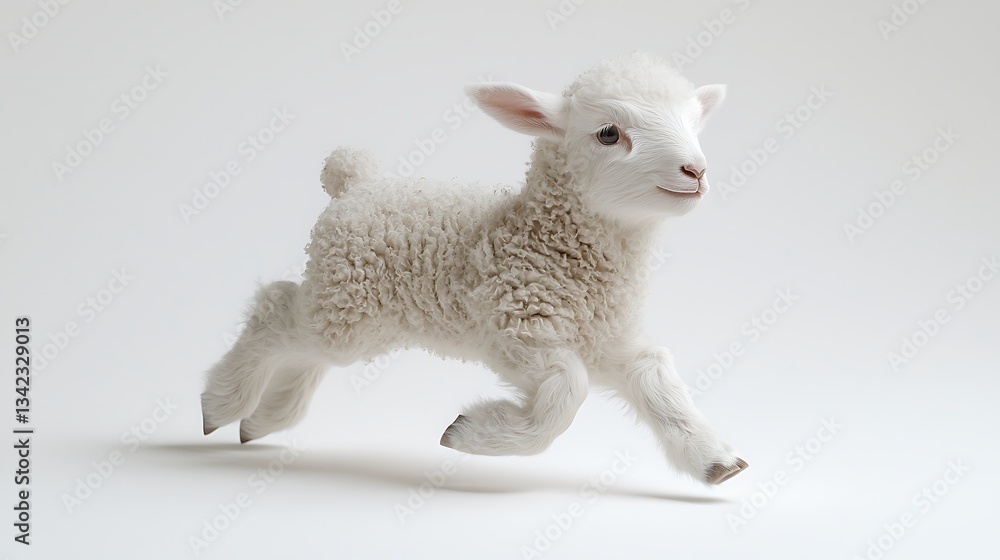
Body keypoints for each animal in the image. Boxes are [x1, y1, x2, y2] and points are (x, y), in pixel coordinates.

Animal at [201, 52, 748, 485]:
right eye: (609, 133)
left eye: (692, 123)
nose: (696, 171)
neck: (549, 242)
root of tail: (354, 182)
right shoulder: (517, 327)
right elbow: (566, 391)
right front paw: (469, 435)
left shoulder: (608, 338)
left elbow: (656, 377)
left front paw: (716, 461)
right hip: (346, 301)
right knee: (276, 309)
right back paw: (220, 405)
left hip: (353, 310)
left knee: (306, 350)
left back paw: (264, 419)